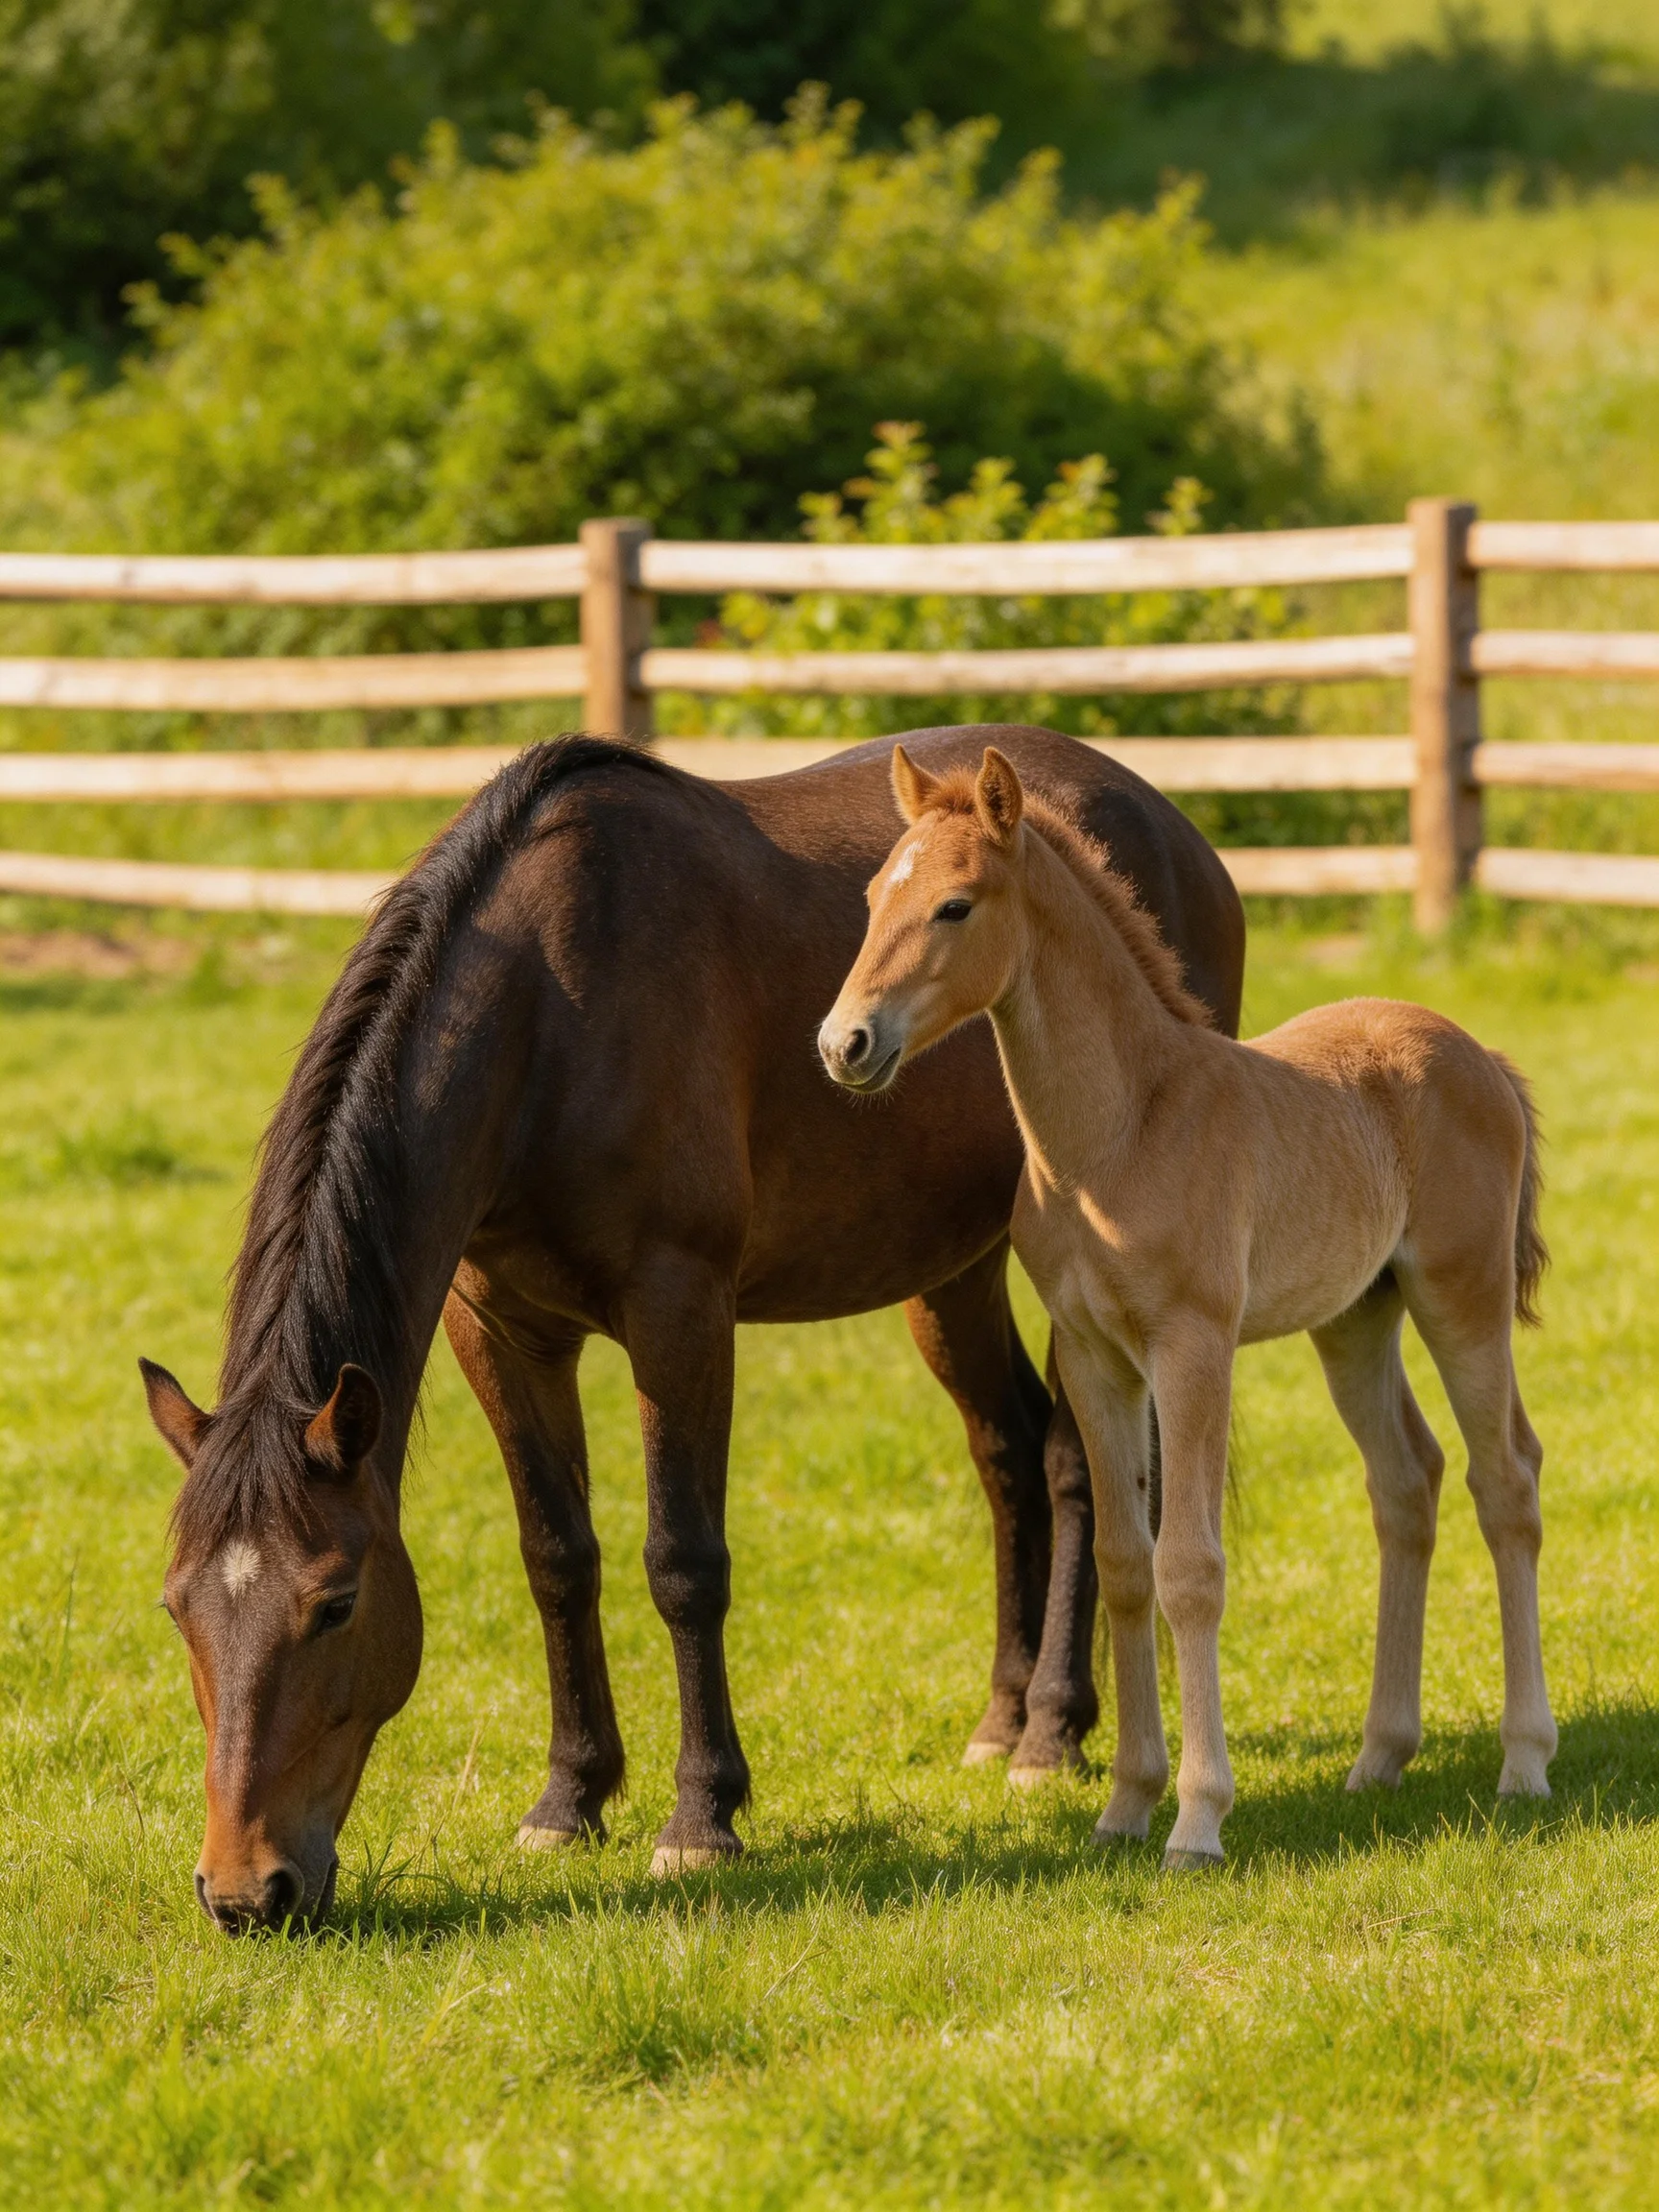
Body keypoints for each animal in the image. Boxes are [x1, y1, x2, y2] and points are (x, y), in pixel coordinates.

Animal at [143, 727, 1244, 1931]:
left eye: (336, 1604)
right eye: (176, 1609)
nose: (245, 1891)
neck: (549, 1008)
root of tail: (1173, 828)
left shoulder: (681, 1310)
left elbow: (683, 1562)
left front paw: (701, 1816)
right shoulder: (500, 1328)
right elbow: (557, 1557)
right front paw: (569, 1798)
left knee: (1083, 1464)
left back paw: (1052, 1730)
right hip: (952, 1270)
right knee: (1009, 1451)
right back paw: (1005, 1723)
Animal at [820, 744, 1555, 1869]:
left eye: (954, 904)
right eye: (869, 898)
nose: (844, 1044)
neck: (1119, 1130)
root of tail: (1481, 1056)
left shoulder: (1192, 1345)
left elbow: (1191, 1567)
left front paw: (1199, 1819)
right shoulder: (1093, 1355)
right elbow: (1125, 1565)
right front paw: (1124, 1804)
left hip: (1458, 1296)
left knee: (1505, 1478)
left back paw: (1524, 1763)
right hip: (1355, 1319)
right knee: (1407, 1482)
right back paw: (1379, 1757)